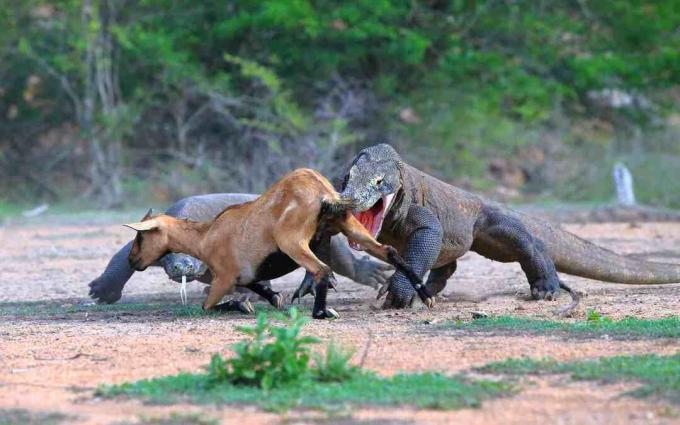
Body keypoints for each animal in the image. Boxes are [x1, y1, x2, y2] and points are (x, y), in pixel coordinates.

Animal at [123, 167, 430, 316]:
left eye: (141, 234)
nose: (131, 259)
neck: (206, 235)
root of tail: (322, 192)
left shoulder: (224, 276)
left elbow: (208, 305)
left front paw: (242, 306)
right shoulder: (246, 273)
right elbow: (255, 284)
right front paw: (274, 298)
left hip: (292, 241)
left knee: (321, 269)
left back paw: (322, 312)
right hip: (351, 228)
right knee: (389, 252)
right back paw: (425, 295)